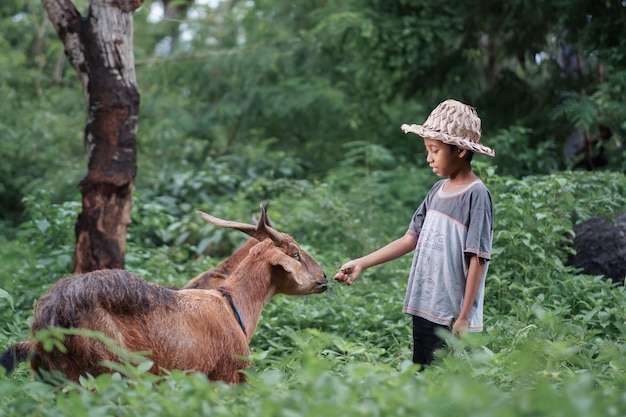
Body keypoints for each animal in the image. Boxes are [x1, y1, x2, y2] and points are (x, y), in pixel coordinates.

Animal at [0, 205, 330, 384]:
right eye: (296, 254)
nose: (325, 277)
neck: (232, 304)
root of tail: (50, 319)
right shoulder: (229, 374)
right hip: (108, 371)